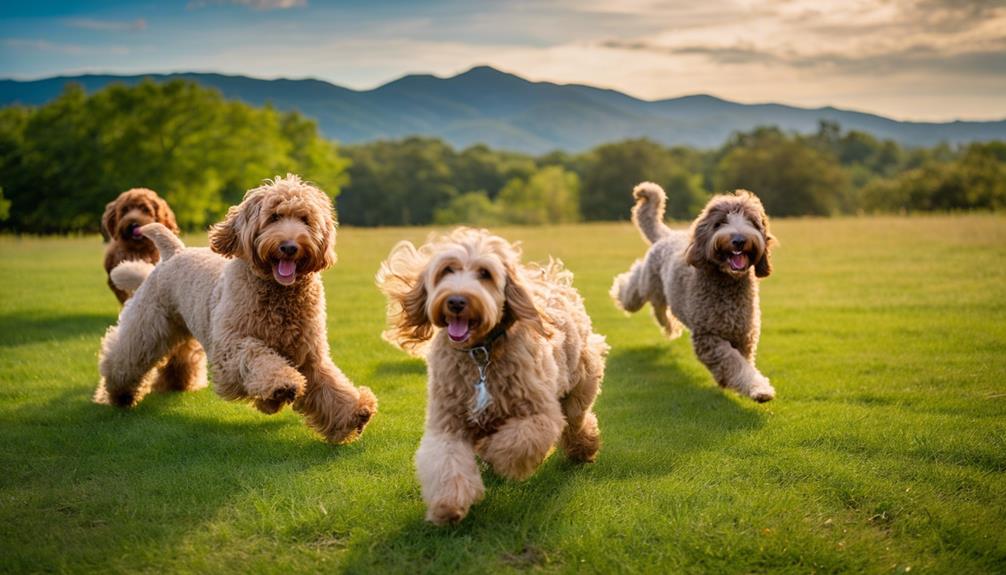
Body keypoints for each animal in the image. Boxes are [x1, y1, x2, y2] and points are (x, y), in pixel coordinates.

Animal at [96, 174, 378, 444]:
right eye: (274, 217)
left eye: (305, 219)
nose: (289, 246)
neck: (279, 295)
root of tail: (174, 251)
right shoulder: (230, 347)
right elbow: (256, 356)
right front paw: (282, 384)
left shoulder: (309, 355)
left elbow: (330, 386)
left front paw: (355, 411)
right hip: (147, 325)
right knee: (123, 357)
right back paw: (120, 395)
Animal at [378, 227, 607, 522]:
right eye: (447, 270)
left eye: (485, 273)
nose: (456, 301)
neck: (480, 355)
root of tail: (555, 282)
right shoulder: (447, 422)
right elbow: (445, 460)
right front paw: (448, 505)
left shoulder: (539, 414)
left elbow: (516, 442)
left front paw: (490, 450)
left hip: (578, 387)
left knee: (578, 420)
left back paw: (584, 449)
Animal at [611, 181, 776, 402]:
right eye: (720, 222)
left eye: (751, 221)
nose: (739, 240)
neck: (728, 283)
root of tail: (669, 235)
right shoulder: (708, 337)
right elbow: (735, 364)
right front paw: (759, 388)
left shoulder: (744, 335)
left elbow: (743, 363)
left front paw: (740, 385)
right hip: (646, 282)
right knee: (635, 287)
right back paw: (620, 289)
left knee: (659, 307)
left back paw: (668, 324)